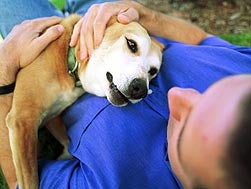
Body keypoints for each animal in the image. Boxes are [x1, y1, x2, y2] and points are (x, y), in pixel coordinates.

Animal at [5, 14, 163, 188]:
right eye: (132, 44)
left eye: (153, 71)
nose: (141, 89)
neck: (69, 63)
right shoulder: (23, 119)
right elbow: (30, 181)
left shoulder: (52, 117)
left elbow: (67, 144)